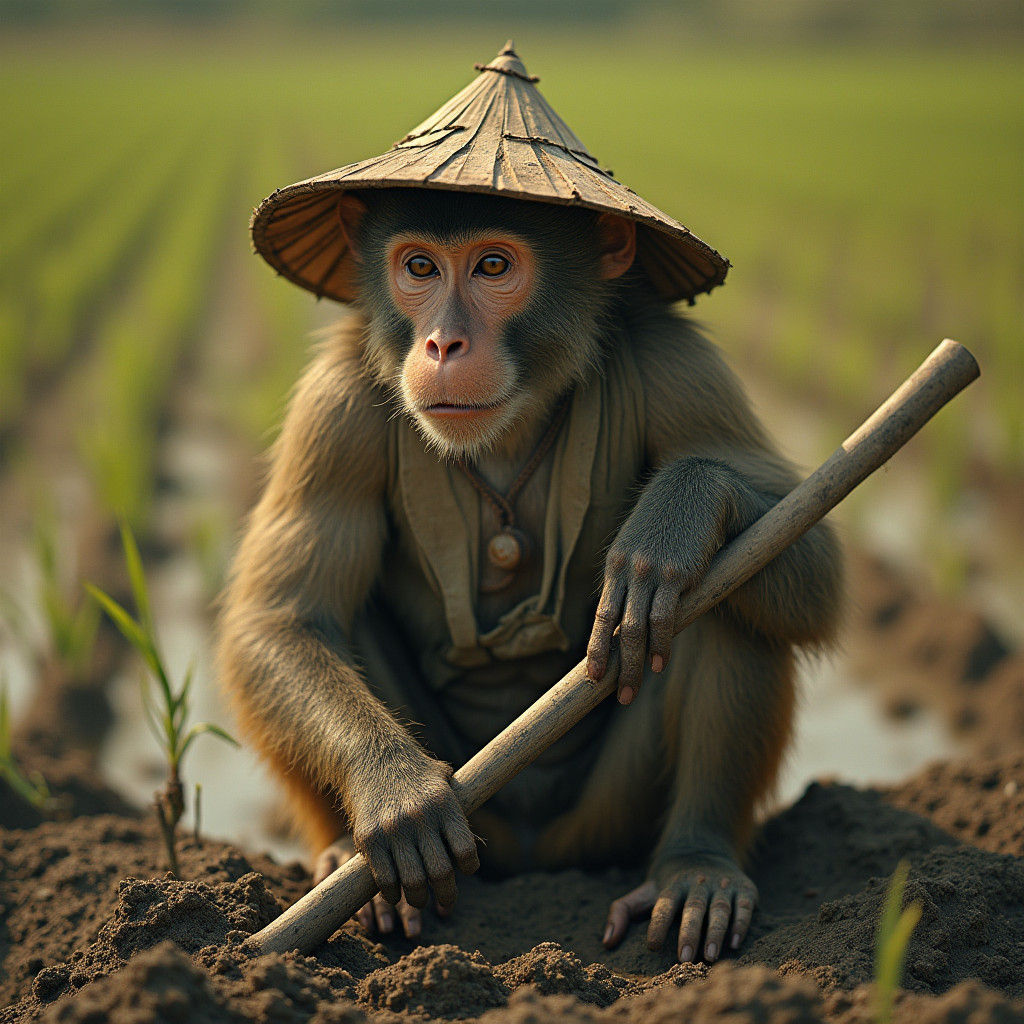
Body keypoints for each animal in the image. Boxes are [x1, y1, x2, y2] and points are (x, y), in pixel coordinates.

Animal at [216, 187, 843, 963]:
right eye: (419, 267)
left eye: (493, 266)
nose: (442, 344)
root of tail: (533, 861)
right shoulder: (334, 411)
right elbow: (281, 621)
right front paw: (391, 781)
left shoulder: (683, 369)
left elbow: (811, 548)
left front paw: (684, 509)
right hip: (482, 829)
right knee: (334, 617)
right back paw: (346, 868)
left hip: (604, 822)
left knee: (724, 593)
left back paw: (699, 866)